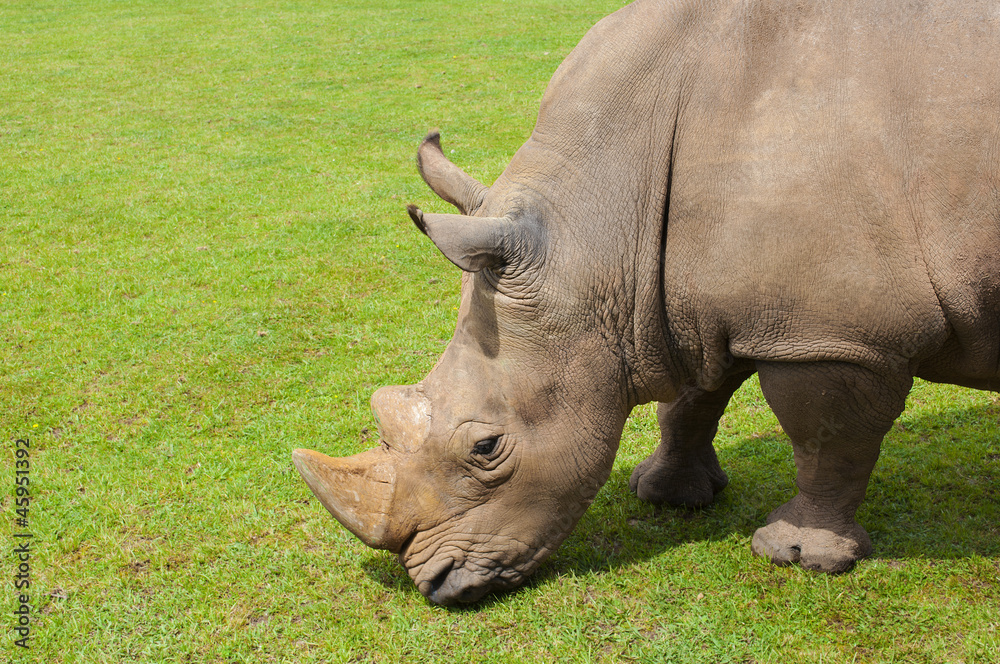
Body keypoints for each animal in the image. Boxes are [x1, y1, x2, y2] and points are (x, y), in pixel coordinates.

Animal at [293, 0, 1000, 605]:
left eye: (487, 449)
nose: (433, 585)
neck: (596, 234)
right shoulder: (688, 297)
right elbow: (694, 398)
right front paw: (667, 495)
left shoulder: (835, 336)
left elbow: (826, 437)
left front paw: (797, 553)